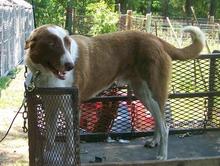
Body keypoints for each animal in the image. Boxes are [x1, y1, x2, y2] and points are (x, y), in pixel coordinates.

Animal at [24, 24, 205, 160]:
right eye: (52, 44)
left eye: (67, 43)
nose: (70, 66)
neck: (46, 73)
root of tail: (156, 39)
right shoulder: (51, 105)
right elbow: (50, 136)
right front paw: (47, 155)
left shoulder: (71, 109)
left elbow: (70, 143)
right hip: (143, 93)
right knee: (157, 119)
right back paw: (154, 141)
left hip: (154, 92)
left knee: (165, 126)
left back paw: (162, 155)